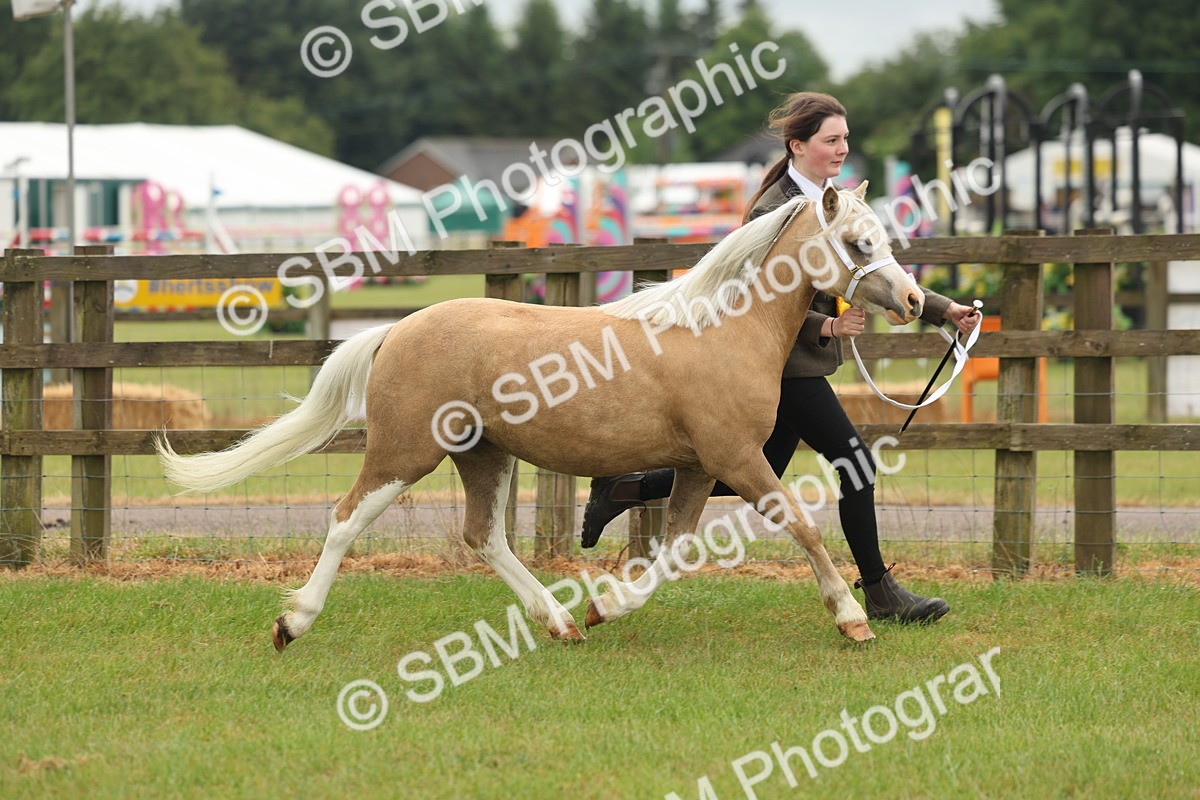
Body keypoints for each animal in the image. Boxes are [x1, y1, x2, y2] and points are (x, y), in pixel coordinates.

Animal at [156, 183, 924, 651]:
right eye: (860, 242)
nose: (916, 300)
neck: (722, 329)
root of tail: (397, 329)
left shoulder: (700, 468)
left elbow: (672, 552)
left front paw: (603, 607)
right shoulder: (737, 459)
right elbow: (804, 527)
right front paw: (853, 619)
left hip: (483, 454)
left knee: (483, 536)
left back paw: (559, 622)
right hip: (404, 453)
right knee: (346, 520)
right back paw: (293, 623)